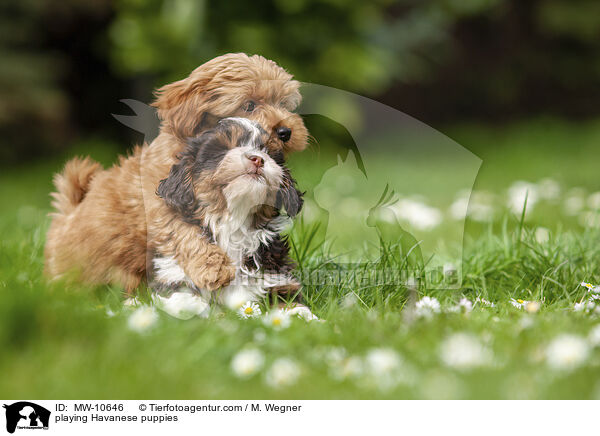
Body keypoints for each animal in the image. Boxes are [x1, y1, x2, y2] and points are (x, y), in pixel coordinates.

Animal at [46, 54, 308, 292]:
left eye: (283, 104)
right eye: (250, 105)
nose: (286, 131)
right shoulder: (161, 210)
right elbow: (185, 232)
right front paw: (214, 268)